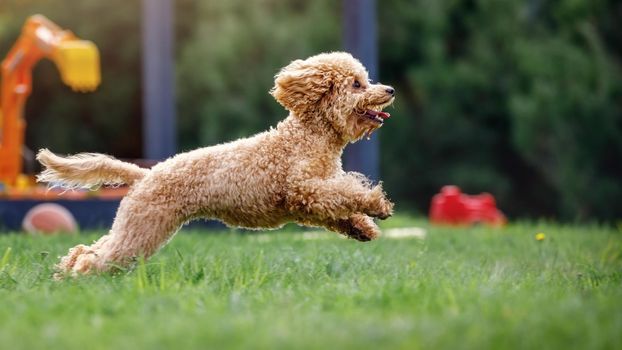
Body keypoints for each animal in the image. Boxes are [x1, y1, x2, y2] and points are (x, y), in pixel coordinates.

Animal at [37, 52, 394, 276]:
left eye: (366, 80)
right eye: (357, 84)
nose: (389, 89)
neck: (308, 137)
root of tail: (145, 174)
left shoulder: (313, 203)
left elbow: (341, 209)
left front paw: (364, 228)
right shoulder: (303, 189)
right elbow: (346, 193)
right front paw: (377, 203)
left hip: (139, 225)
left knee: (92, 248)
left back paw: (66, 272)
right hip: (143, 226)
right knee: (102, 256)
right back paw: (79, 276)